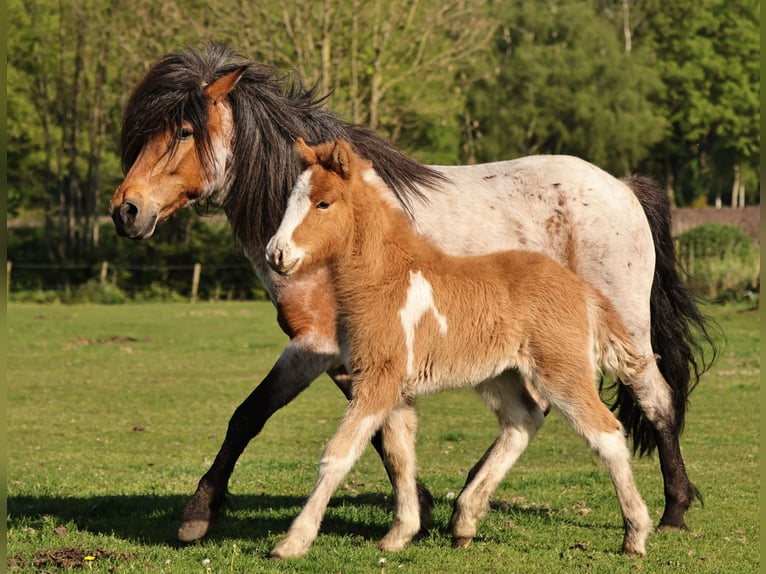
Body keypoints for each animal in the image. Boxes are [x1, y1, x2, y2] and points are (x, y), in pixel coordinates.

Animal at [266, 142, 656, 560]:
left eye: (323, 203)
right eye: (289, 199)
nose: (276, 253)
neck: (388, 277)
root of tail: (581, 288)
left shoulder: (377, 380)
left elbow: (337, 454)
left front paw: (292, 542)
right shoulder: (397, 389)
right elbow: (400, 457)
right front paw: (400, 534)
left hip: (562, 371)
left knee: (607, 434)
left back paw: (635, 535)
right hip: (500, 375)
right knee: (523, 420)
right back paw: (465, 522)